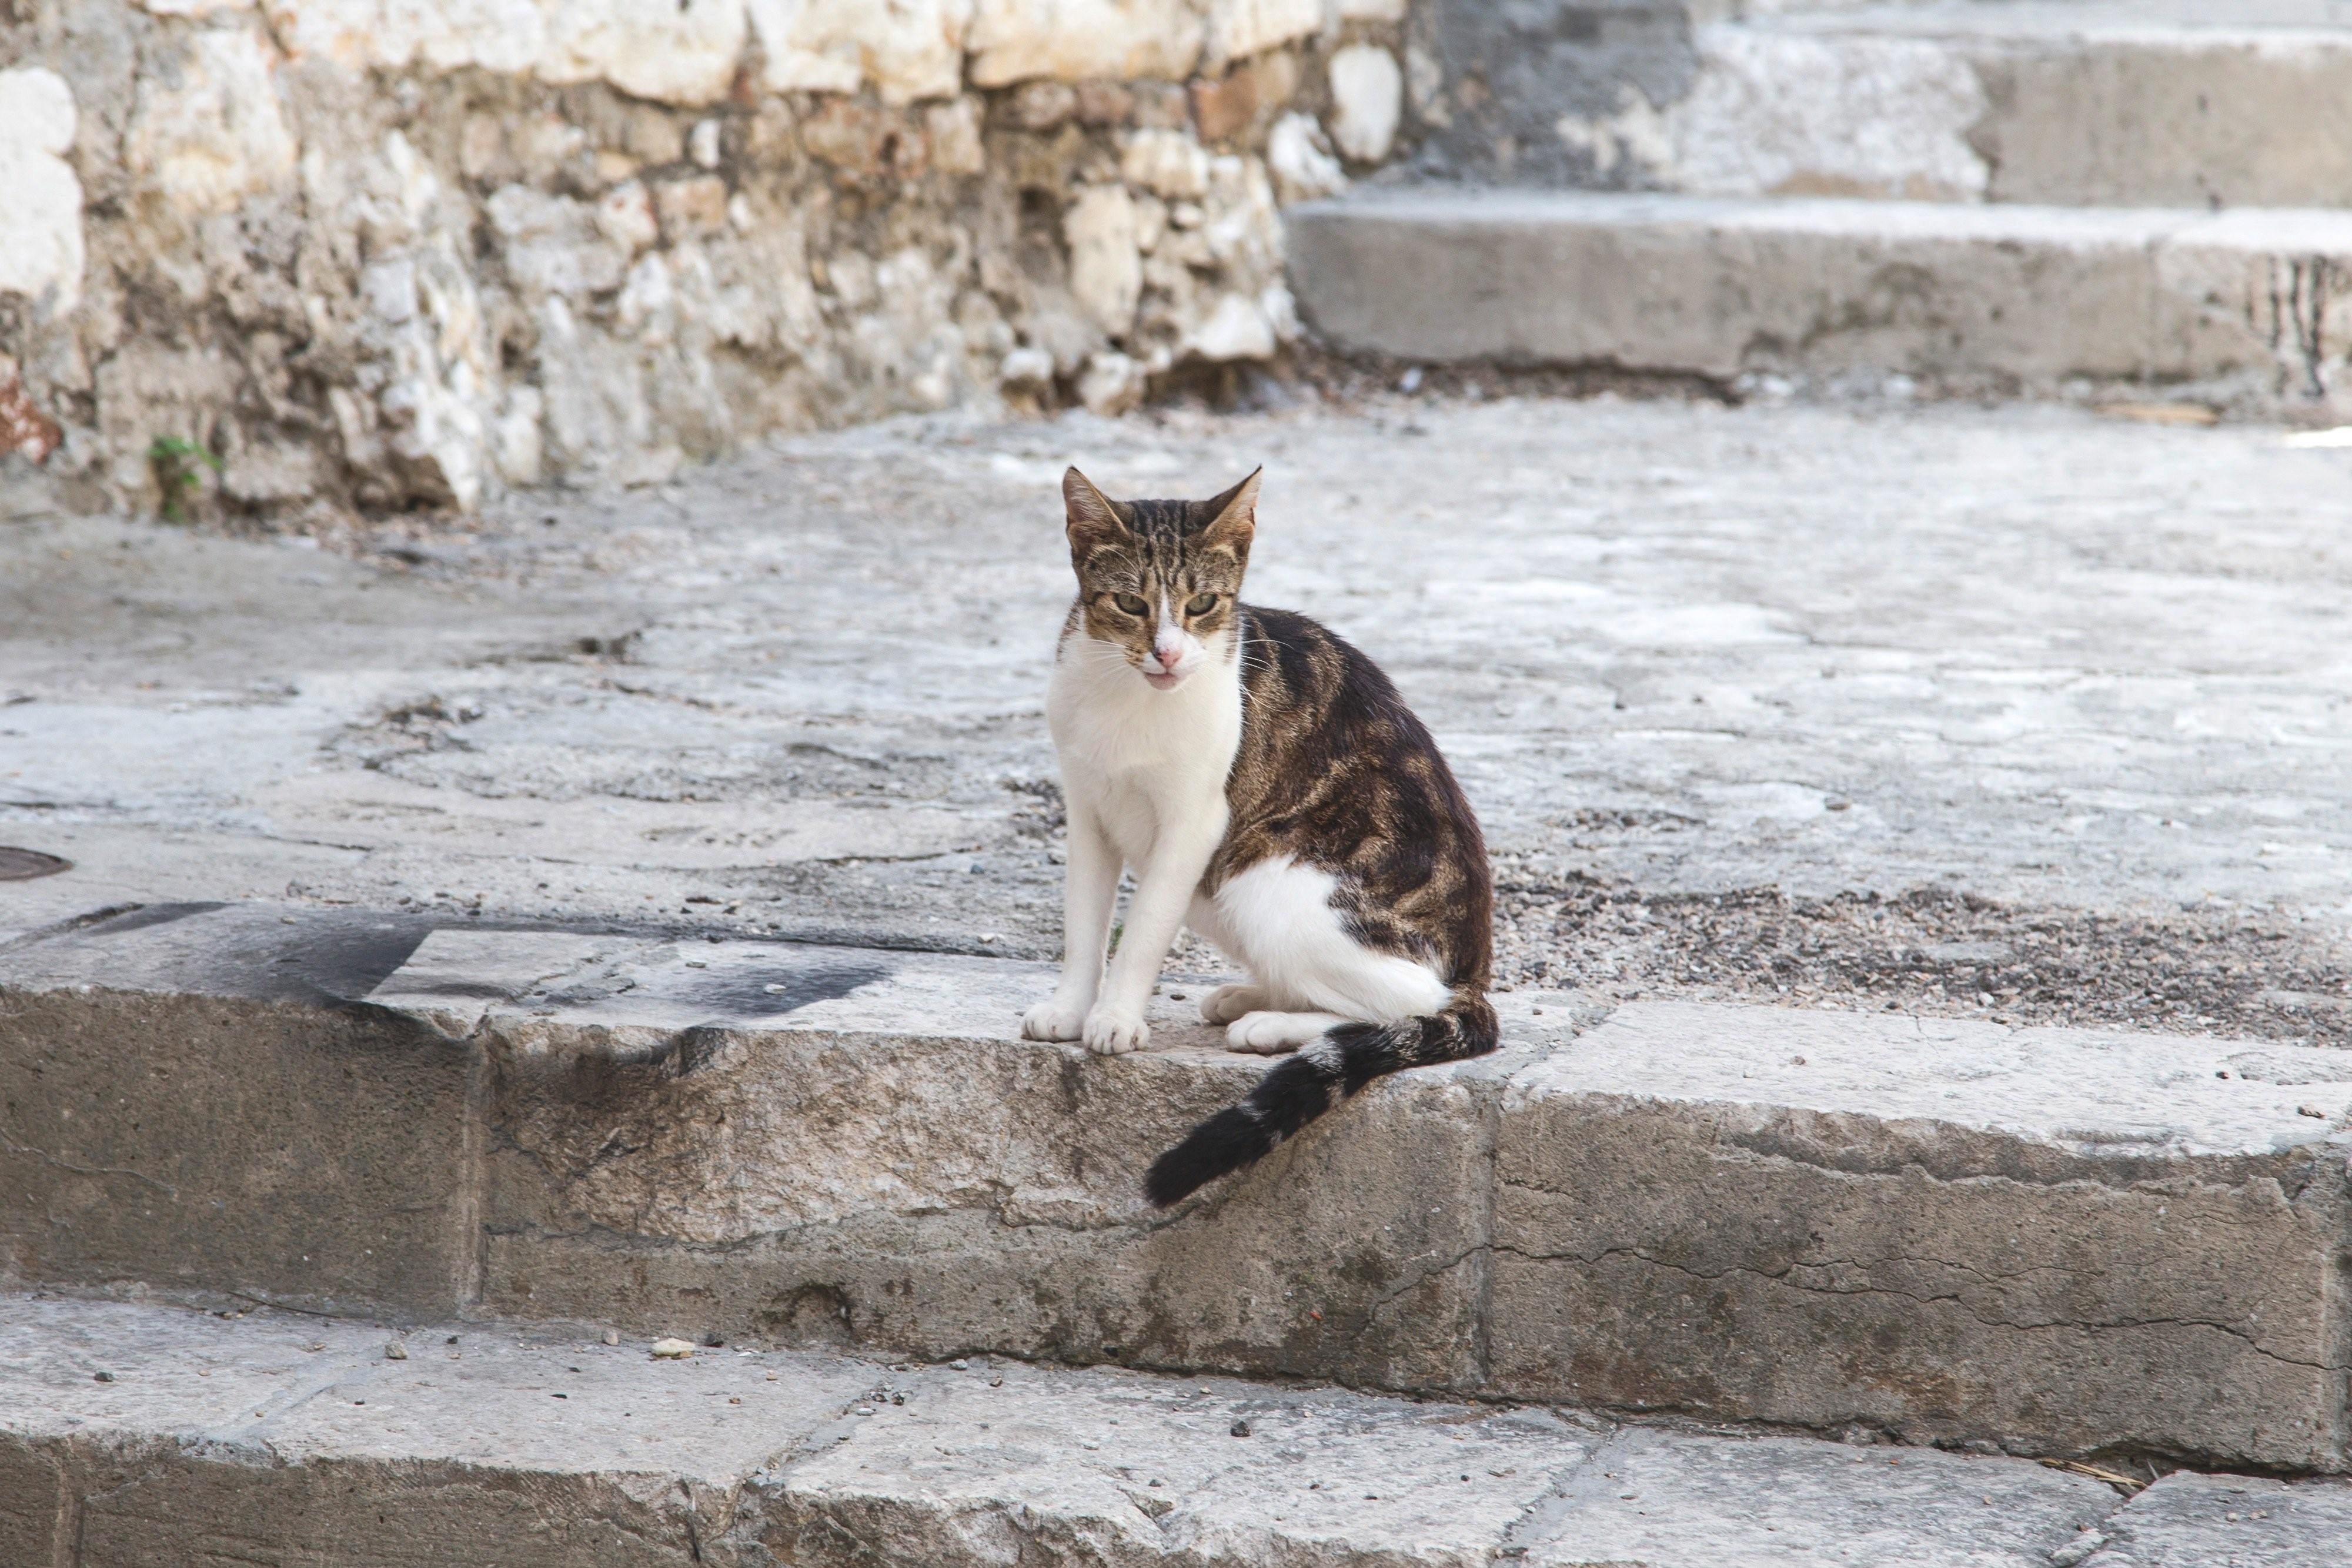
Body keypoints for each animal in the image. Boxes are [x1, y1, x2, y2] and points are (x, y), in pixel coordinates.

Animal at [1021, 460, 1496, 1213]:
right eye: (1128, 604)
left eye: (1202, 604)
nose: (1167, 654)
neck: (1129, 700)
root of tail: (1474, 968)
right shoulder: (1087, 808)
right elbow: (1084, 923)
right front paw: (1071, 1006)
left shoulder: (1195, 822)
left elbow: (1144, 925)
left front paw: (1116, 1015)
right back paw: (1250, 996)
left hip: (1268, 873)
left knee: (1411, 1002)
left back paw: (1272, 1025)